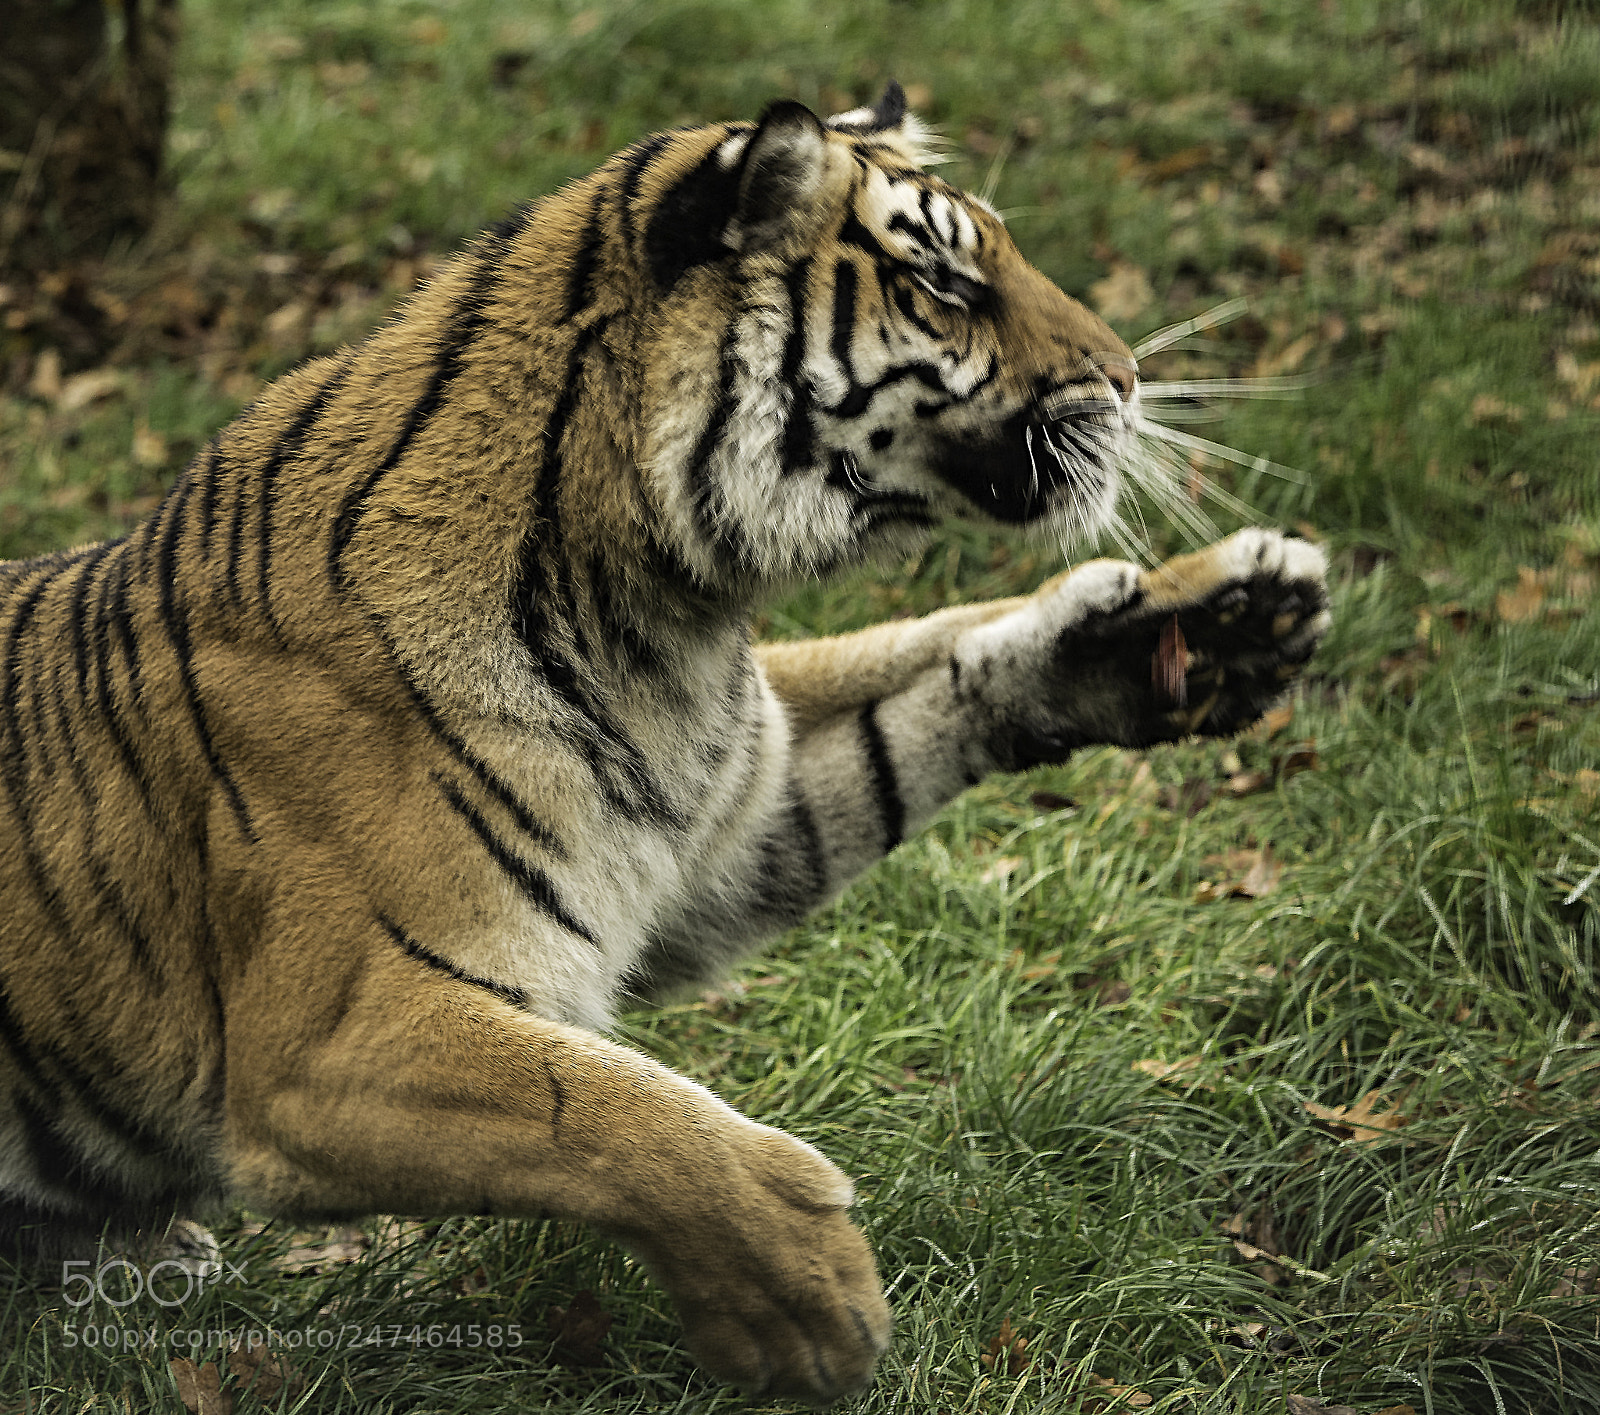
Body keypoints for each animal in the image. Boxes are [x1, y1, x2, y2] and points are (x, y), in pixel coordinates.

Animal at [0, 83, 1329, 1401]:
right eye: (943, 285)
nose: (1129, 378)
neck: (660, 620)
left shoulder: (721, 830)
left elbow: (921, 682)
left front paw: (1210, 622)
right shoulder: (330, 1041)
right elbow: (605, 1109)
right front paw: (808, 1301)